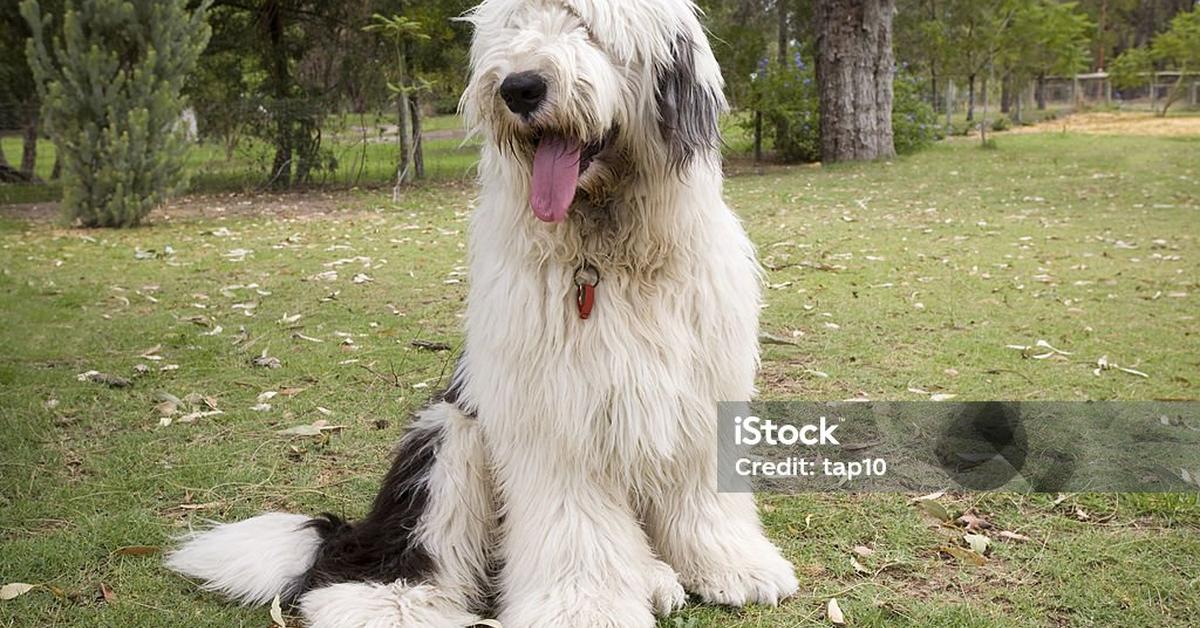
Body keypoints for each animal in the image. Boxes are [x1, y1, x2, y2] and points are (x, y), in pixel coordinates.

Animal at [162, 0, 796, 624]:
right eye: (514, 27)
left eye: (587, 25)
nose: (519, 87)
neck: (605, 256)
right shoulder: (554, 414)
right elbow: (574, 522)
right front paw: (584, 606)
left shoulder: (699, 395)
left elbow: (701, 495)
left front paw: (732, 566)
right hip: (449, 440)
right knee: (390, 560)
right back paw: (396, 602)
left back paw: (656, 577)